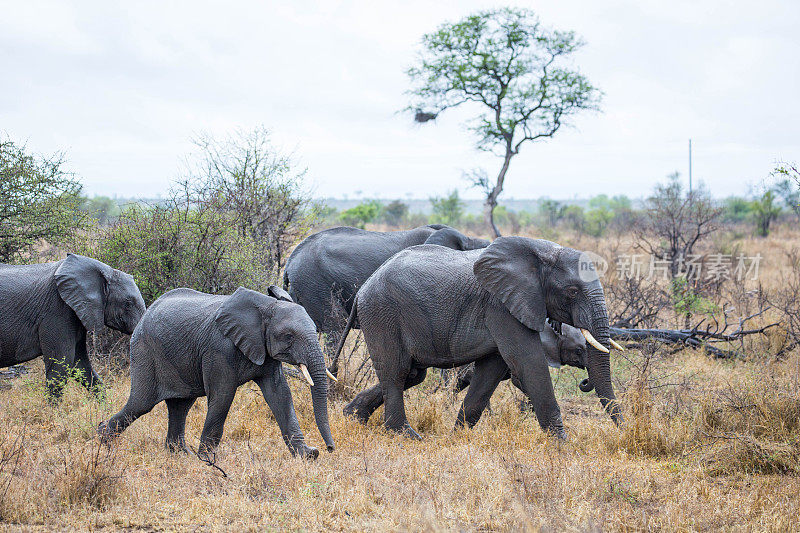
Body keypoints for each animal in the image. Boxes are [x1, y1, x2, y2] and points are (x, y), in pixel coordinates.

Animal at [98, 286, 336, 458]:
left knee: (180, 406)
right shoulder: (219, 349)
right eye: (288, 336)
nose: (329, 449)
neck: (265, 305)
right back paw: (103, 442)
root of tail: (145, 315)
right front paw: (208, 460)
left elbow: (281, 395)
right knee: (141, 403)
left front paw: (307, 455)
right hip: (145, 351)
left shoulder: (265, 351)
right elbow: (222, 396)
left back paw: (181, 455)